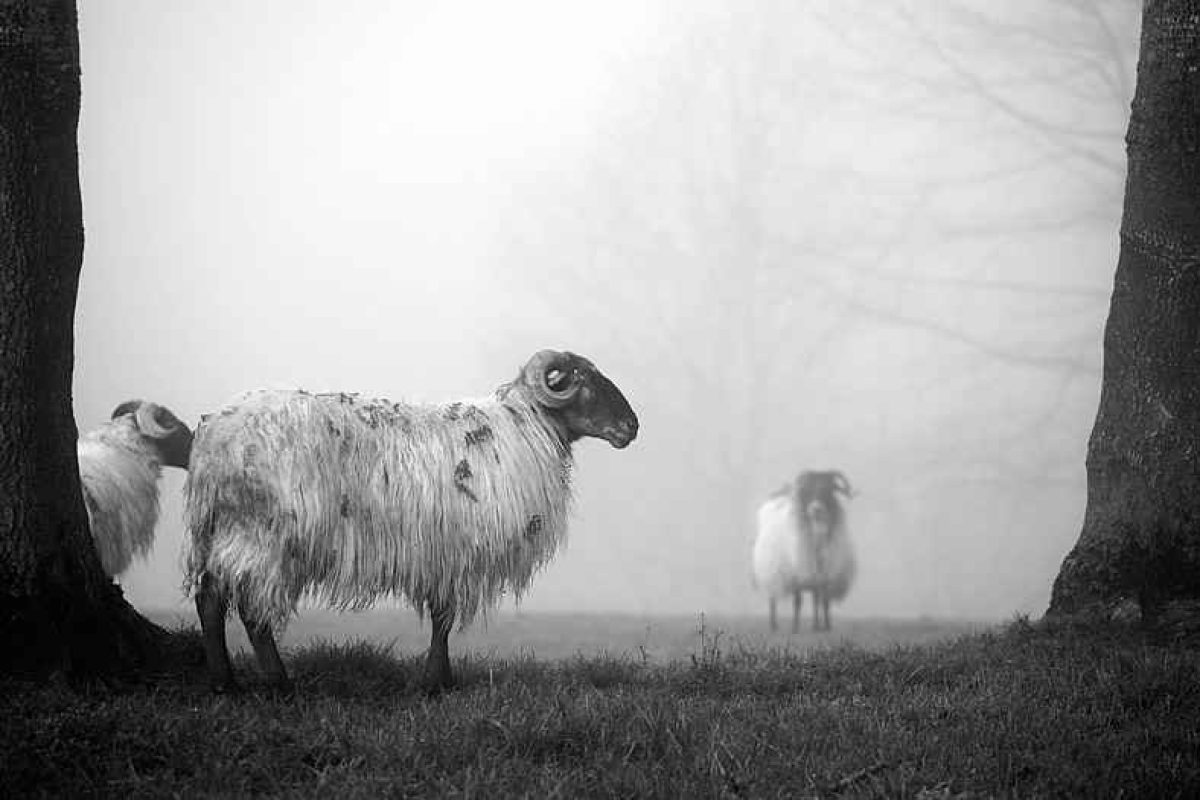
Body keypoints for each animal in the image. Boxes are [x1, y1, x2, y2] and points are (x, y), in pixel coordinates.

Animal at [183, 348, 639, 693]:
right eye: (583, 380)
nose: (632, 427)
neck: (520, 428)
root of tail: (210, 437)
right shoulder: (457, 547)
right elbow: (444, 618)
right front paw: (436, 682)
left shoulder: (443, 549)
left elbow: (441, 615)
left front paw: (440, 679)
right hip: (263, 532)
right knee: (248, 606)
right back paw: (278, 683)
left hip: (223, 529)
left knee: (211, 598)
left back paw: (225, 683)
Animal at [751, 470, 855, 633]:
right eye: (807, 490)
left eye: (829, 489)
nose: (816, 509)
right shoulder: (797, 577)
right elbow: (798, 602)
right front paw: (795, 627)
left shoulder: (822, 576)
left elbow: (822, 602)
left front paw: (823, 626)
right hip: (771, 574)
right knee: (773, 599)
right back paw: (774, 625)